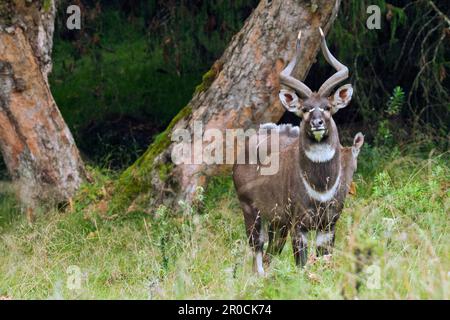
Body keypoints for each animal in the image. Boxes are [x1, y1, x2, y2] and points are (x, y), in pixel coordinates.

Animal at [234, 28, 364, 276]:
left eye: (327, 107)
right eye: (305, 109)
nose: (317, 123)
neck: (320, 188)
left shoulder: (328, 226)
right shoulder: (299, 225)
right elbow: (302, 267)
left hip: (277, 224)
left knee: (270, 251)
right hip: (250, 210)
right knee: (257, 250)